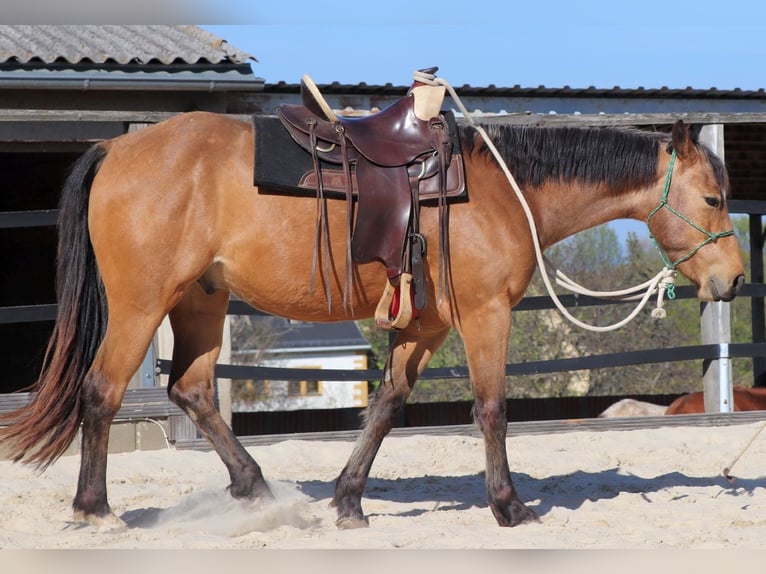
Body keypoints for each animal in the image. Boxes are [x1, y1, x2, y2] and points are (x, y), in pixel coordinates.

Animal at [0, 112, 744, 530]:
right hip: (141, 304)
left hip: (200, 301)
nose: (734, 280)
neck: (505, 191)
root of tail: (116, 151)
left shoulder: (427, 325)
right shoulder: (485, 315)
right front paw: (509, 506)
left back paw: (257, 490)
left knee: (192, 390)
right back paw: (96, 511)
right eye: (712, 198)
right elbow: (493, 409)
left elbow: (387, 405)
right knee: (102, 393)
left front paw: (349, 500)